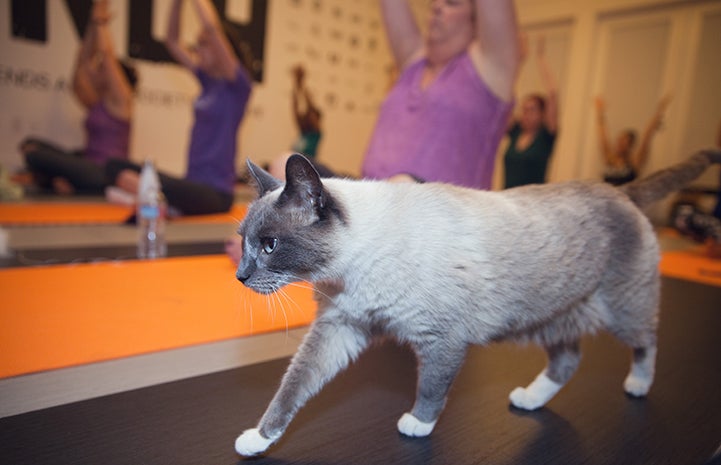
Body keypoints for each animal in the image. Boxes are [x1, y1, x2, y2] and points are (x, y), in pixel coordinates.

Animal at [232, 150, 720, 454]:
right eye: (244, 242)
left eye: (270, 245)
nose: (240, 276)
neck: (351, 273)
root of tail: (620, 191)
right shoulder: (340, 327)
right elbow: (292, 389)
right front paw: (258, 438)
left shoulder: (440, 340)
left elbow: (431, 389)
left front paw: (417, 425)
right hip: (550, 317)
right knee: (569, 360)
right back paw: (529, 399)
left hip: (621, 310)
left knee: (647, 340)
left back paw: (637, 384)